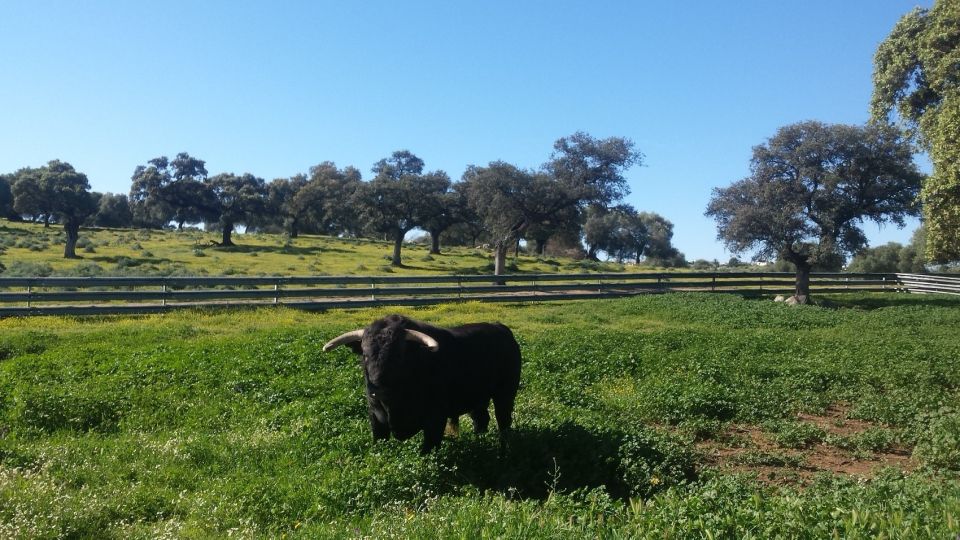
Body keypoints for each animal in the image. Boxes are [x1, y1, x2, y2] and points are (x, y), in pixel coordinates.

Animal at [324, 314, 520, 454]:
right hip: (476, 398)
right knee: (481, 419)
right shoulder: (376, 418)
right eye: (364, 354)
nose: (377, 390)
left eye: (398, 356)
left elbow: (427, 451)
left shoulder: (436, 419)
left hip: (505, 395)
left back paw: (504, 449)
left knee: (503, 422)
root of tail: (500, 327)